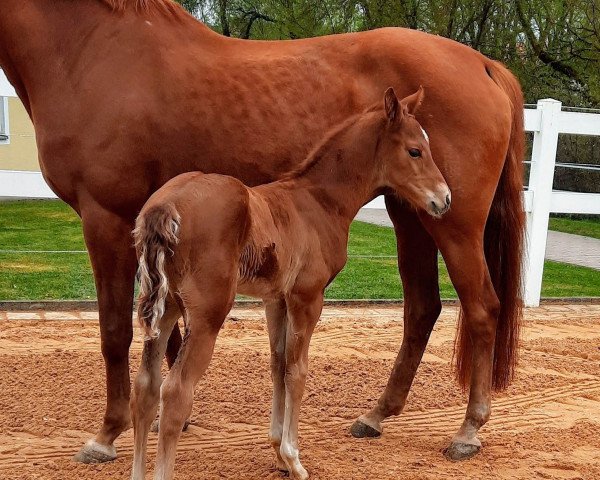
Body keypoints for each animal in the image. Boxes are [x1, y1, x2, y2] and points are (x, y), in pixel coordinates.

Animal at [131, 87, 450, 480]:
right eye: (414, 150)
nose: (444, 199)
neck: (319, 201)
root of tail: (166, 205)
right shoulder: (307, 296)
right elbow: (298, 372)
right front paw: (294, 459)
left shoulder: (276, 299)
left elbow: (278, 366)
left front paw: (278, 453)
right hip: (207, 314)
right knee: (175, 393)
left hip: (167, 308)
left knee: (145, 388)